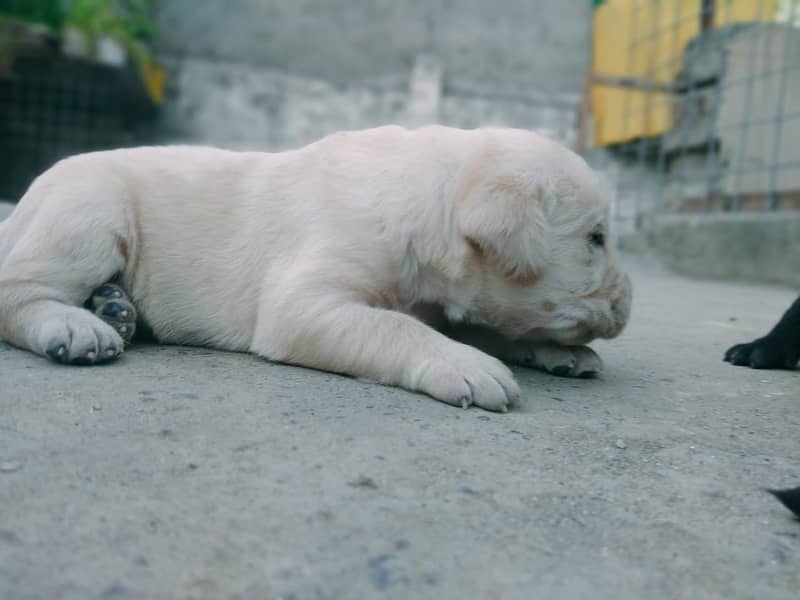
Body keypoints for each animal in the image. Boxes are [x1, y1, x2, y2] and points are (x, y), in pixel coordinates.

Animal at [0, 124, 632, 410]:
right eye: (596, 238)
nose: (629, 299)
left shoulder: (449, 300)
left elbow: (487, 325)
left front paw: (554, 352)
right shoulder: (306, 302)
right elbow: (393, 325)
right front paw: (466, 366)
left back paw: (113, 306)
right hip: (89, 209)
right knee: (17, 288)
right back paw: (78, 326)